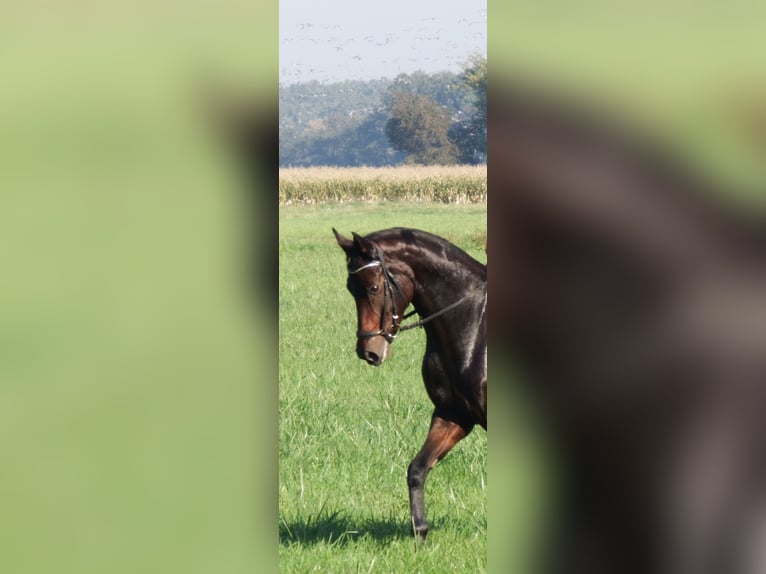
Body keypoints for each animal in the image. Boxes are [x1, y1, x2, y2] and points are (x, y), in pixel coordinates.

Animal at [333, 227, 487, 541]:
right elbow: (417, 469)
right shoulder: (453, 415)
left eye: (373, 288)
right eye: (350, 288)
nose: (369, 352)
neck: (472, 326)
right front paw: (420, 531)